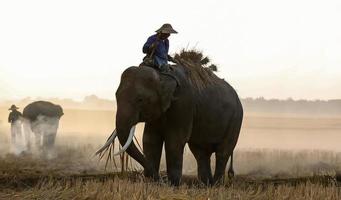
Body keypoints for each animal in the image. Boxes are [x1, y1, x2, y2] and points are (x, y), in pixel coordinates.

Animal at [97, 51, 243, 186]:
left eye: (140, 100)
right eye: (116, 96)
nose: (160, 179)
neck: (161, 74)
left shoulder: (183, 103)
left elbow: (175, 140)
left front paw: (173, 185)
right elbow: (150, 139)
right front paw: (153, 184)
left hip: (236, 120)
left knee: (222, 152)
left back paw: (216, 185)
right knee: (200, 152)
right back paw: (206, 185)